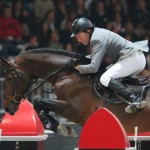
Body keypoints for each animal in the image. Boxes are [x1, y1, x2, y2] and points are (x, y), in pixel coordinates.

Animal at [0, 48, 150, 135]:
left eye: (8, 78)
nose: (7, 108)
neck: (69, 75)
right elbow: (41, 106)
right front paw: (58, 126)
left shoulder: (73, 109)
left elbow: (39, 101)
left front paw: (57, 127)